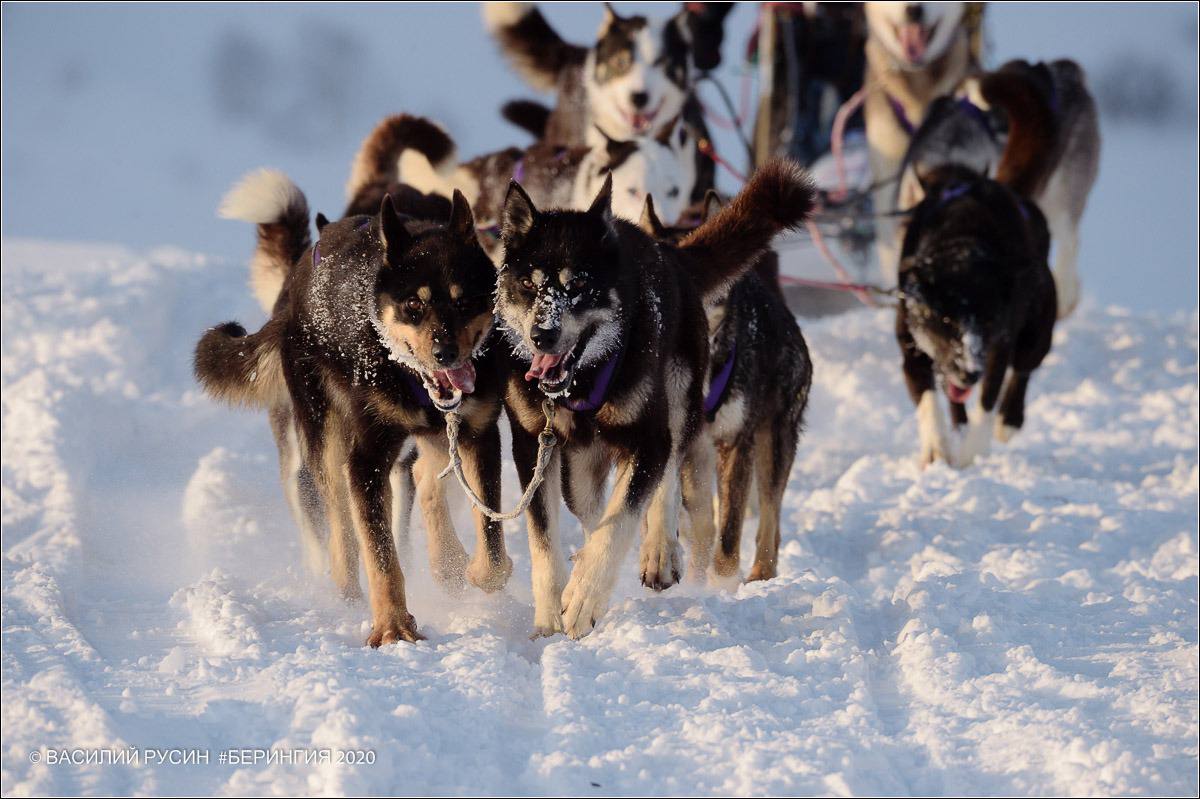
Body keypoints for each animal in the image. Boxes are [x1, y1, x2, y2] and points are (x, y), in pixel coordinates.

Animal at [195, 178, 511, 643]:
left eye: (463, 301)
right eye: (414, 307)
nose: (445, 353)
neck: (405, 374)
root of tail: (294, 293)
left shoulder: (478, 435)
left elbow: (492, 545)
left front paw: (472, 571)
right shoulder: (367, 460)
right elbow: (380, 554)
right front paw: (393, 626)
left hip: (430, 437)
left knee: (424, 476)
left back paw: (446, 560)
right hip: (324, 439)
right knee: (341, 527)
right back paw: (345, 594)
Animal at [638, 193, 816, 578]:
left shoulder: (737, 443)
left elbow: (729, 533)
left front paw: (721, 583)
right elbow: (698, 524)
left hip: (773, 440)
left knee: (769, 519)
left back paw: (760, 574)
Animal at [897, 164, 1056, 470]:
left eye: (988, 322)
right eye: (946, 321)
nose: (969, 373)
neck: (963, 246)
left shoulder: (998, 347)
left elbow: (988, 398)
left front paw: (972, 456)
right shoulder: (912, 345)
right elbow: (928, 399)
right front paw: (936, 450)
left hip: (1038, 329)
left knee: (1024, 368)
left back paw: (1008, 420)